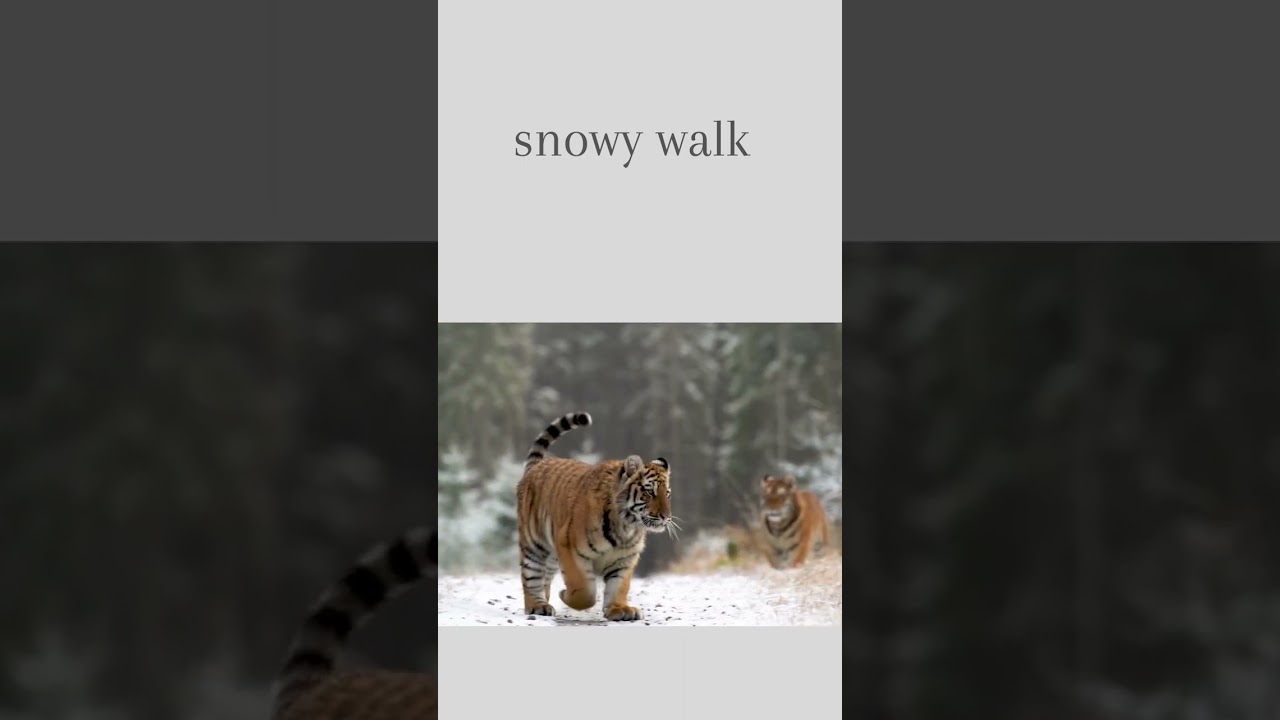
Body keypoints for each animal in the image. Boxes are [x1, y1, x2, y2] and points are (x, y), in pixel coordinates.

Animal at [516, 411, 675, 621]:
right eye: (650, 492)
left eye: (667, 493)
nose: (666, 517)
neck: (627, 526)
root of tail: (535, 467)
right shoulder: (569, 547)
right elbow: (584, 589)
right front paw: (566, 595)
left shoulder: (625, 558)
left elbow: (619, 585)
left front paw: (620, 609)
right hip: (535, 545)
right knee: (531, 576)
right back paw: (537, 606)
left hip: (551, 556)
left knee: (545, 577)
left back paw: (546, 601)